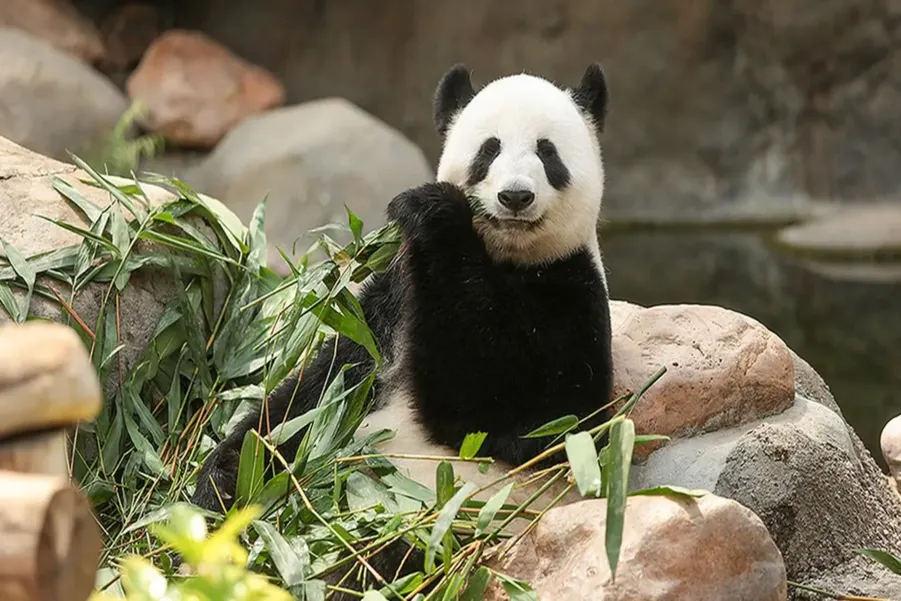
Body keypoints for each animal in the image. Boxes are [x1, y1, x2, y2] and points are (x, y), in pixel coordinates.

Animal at [191, 61, 614, 593]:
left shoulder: (571, 293)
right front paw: (220, 478)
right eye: (489, 149)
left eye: (548, 152)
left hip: (436, 525)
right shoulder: (389, 302)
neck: (507, 258)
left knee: (377, 561)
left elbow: (526, 418)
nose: (515, 196)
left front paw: (435, 212)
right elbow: (312, 397)